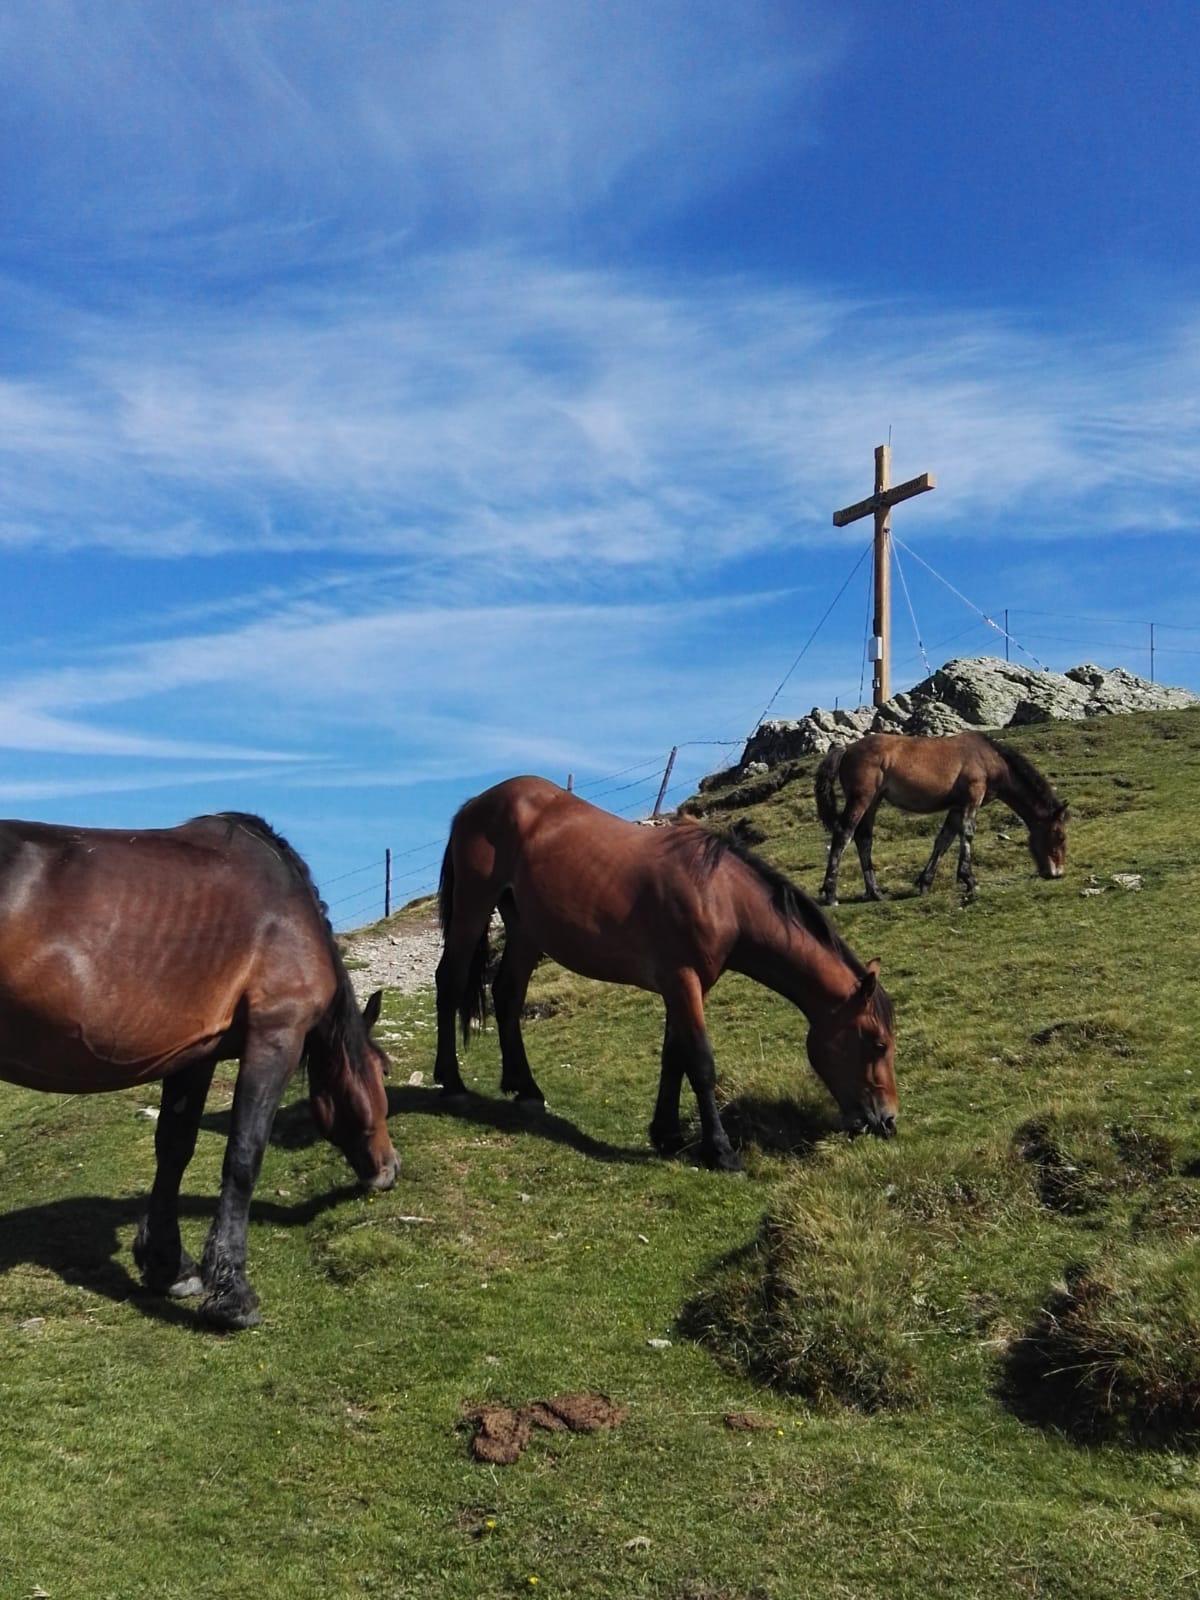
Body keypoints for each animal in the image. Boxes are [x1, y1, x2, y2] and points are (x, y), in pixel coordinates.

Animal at [0, 811, 398, 1329]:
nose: (389, 1169)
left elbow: (174, 1149)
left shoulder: (194, 1054)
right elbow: (243, 1157)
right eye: (382, 1072)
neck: (288, 911)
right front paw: (232, 1294)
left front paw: (169, 1265)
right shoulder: (275, 1036)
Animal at [433, 776, 897, 1170]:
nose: (888, 1120)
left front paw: (667, 1135)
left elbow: (674, 1056)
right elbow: (701, 1061)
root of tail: (475, 804)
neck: (721, 895)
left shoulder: (687, 988)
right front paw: (721, 1151)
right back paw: (451, 1082)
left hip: (526, 930)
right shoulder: (682, 980)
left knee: (507, 994)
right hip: (473, 909)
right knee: (449, 983)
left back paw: (525, 1088)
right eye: (877, 1044)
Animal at [815, 732, 1068, 905]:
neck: (989, 759)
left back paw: (875, 892)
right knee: (843, 835)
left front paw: (925, 883)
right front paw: (970, 880)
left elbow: (944, 840)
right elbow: (967, 834)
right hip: (862, 799)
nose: (1057, 873)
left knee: (864, 839)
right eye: (1059, 836)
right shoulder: (971, 799)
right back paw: (831, 894)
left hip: (873, 802)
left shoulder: (956, 807)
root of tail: (847, 749)